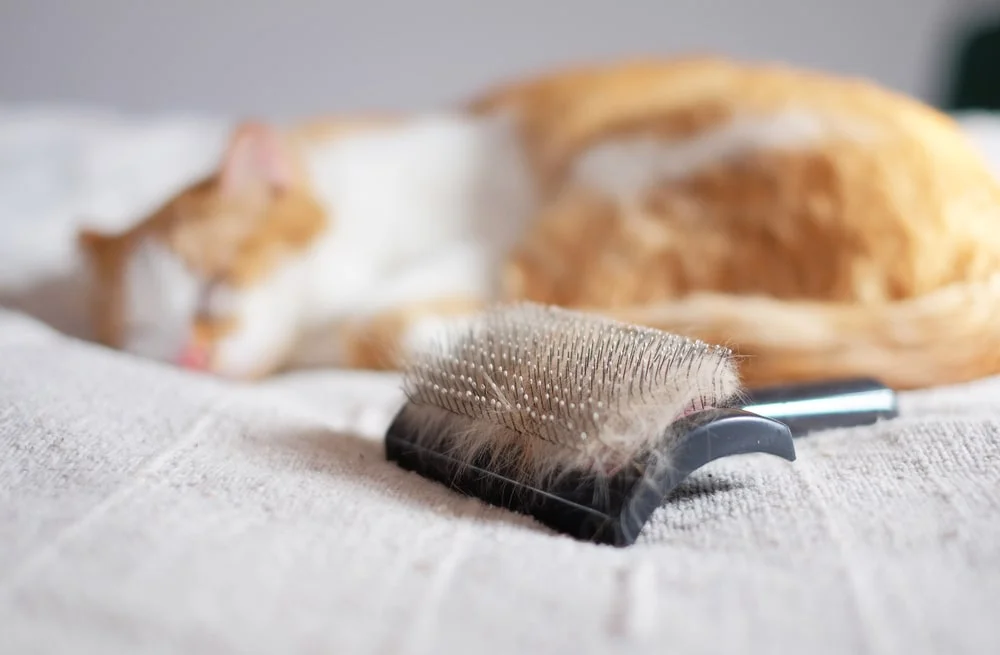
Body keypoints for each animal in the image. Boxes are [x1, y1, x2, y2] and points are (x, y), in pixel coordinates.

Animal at [78, 56, 1000, 390]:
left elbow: (382, 325)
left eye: (216, 284)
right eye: (143, 340)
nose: (190, 353)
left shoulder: (472, 252)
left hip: (620, 187)